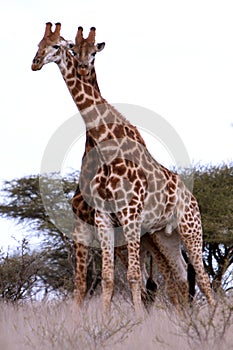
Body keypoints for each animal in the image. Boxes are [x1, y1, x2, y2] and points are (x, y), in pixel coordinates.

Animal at [31, 23, 214, 314]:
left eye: (57, 45)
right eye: (39, 43)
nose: (35, 62)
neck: (103, 140)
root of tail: (191, 196)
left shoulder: (128, 214)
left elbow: (133, 276)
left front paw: (137, 319)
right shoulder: (102, 218)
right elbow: (106, 277)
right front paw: (105, 320)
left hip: (190, 227)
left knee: (201, 278)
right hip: (165, 237)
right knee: (180, 276)